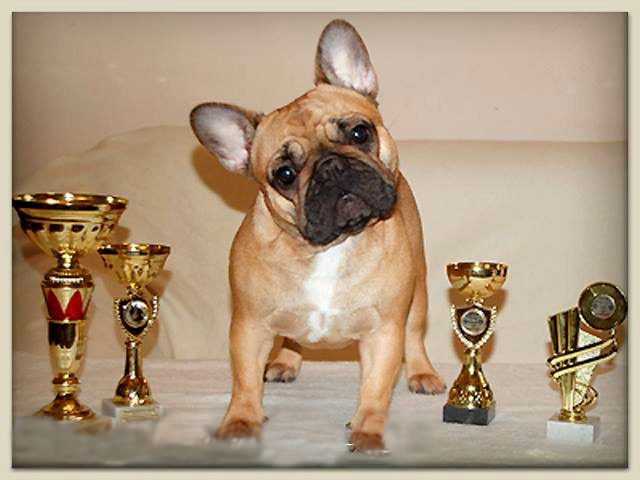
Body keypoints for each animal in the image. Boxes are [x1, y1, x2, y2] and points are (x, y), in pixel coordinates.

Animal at [190, 19, 445, 454]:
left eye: (360, 133)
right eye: (284, 174)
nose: (330, 167)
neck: (331, 247)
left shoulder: (384, 332)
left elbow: (375, 390)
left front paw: (367, 434)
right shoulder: (249, 327)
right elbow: (244, 383)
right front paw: (240, 424)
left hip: (419, 291)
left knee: (415, 335)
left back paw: (422, 373)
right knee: (290, 340)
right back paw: (284, 362)